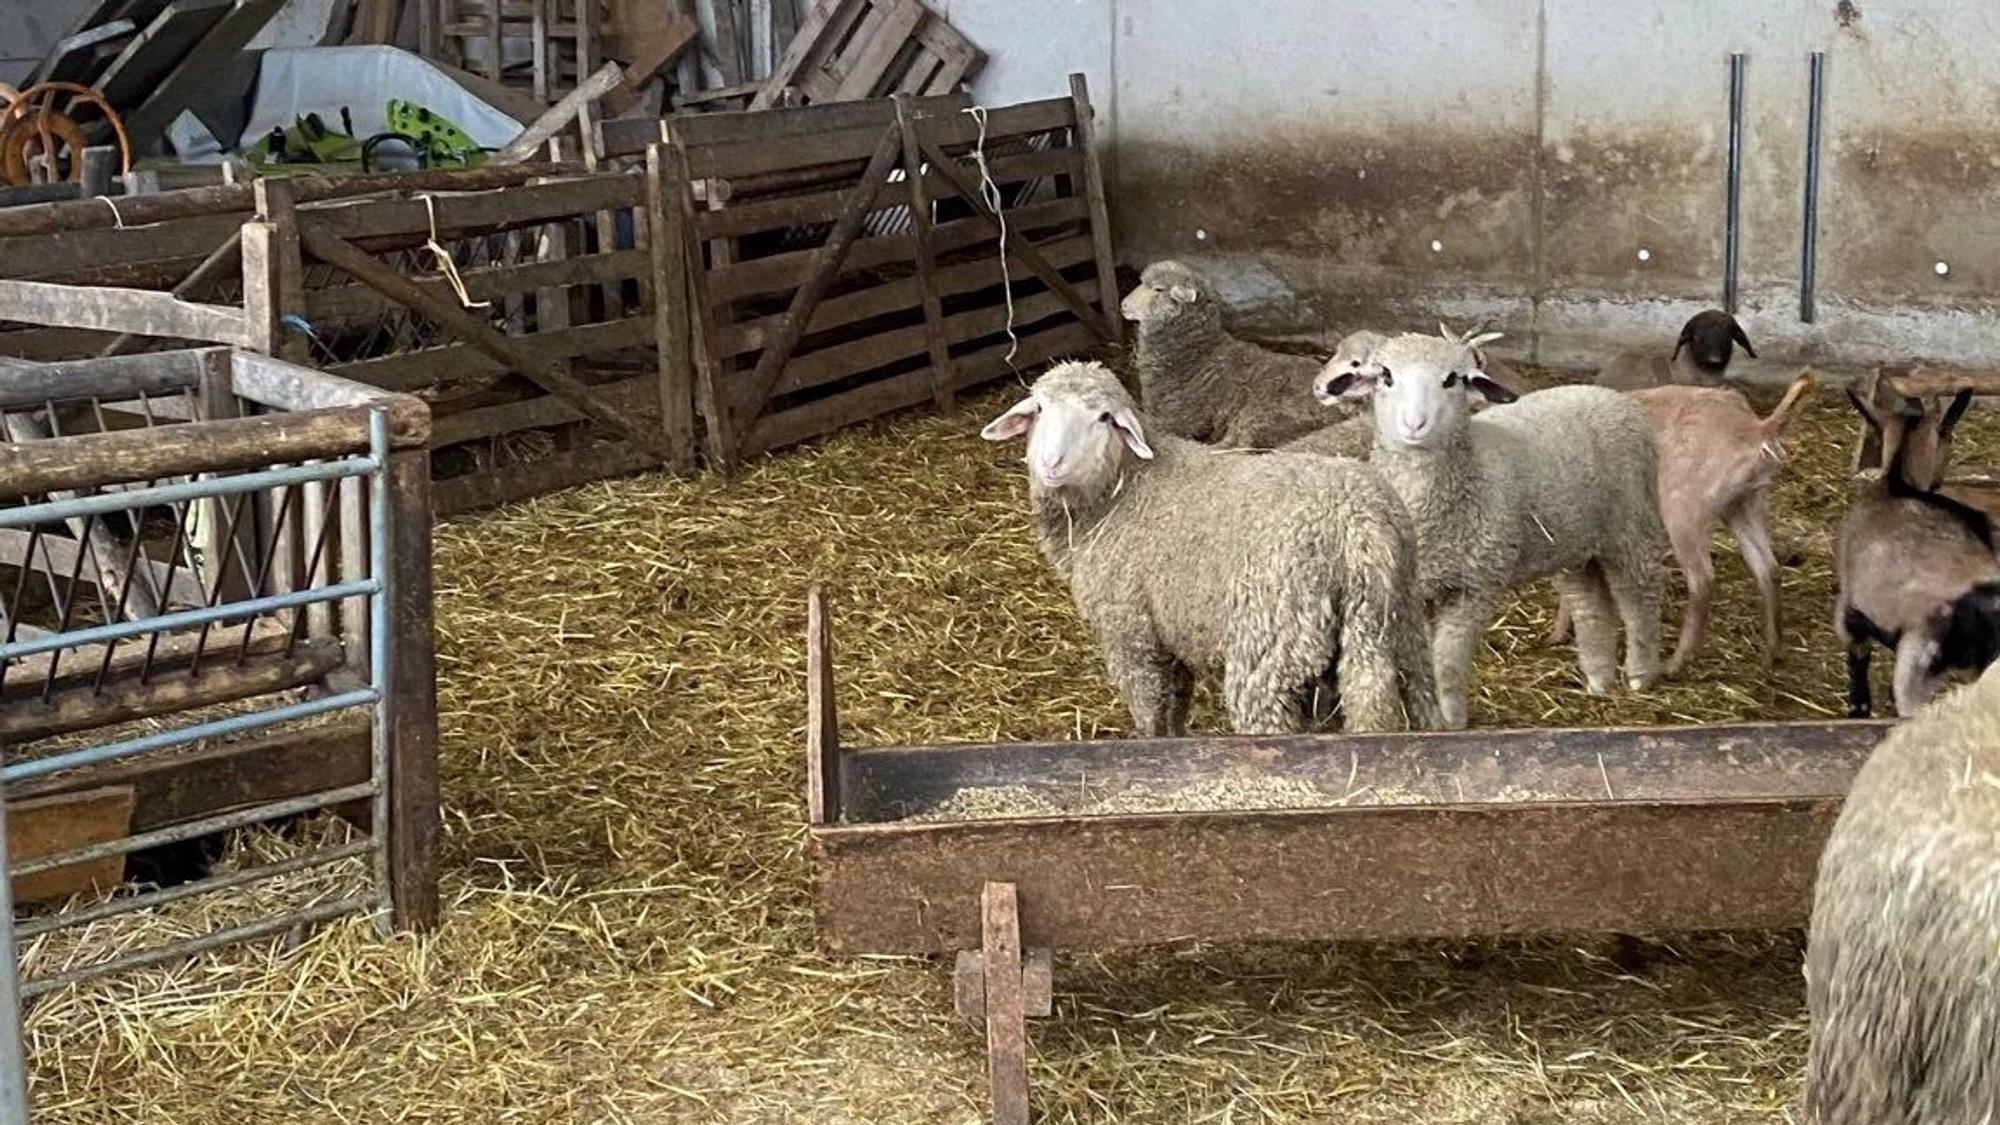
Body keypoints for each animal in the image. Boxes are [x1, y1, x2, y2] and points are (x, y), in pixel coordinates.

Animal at [979, 359, 1442, 734]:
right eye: (1040, 409)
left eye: (1104, 418)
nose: (1051, 463)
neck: (1121, 491)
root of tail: (1359, 525)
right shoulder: (1169, 632)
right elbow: (1176, 703)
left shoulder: (1129, 631)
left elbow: (1149, 711)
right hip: (1398, 625)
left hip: (1270, 649)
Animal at [1318, 327, 1666, 728]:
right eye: (1386, 376)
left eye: (1452, 379)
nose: (1414, 425)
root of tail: (1610, 396)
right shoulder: (1419, 590)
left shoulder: (1476, 585)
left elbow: (1448, 662)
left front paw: (1450, 720)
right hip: (1575, 544)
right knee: (1590, 604)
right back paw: (1599, 680)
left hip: (1631, 527)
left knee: (1639, 599)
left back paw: (1640, 675)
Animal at [1547, 373, 1815, 675]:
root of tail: (1757, 431)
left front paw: (1557, 635)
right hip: (1745, 505)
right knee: (1768, 568)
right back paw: (1773, 654)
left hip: (1683, 509)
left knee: (1703, 578)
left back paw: (1674, 664)